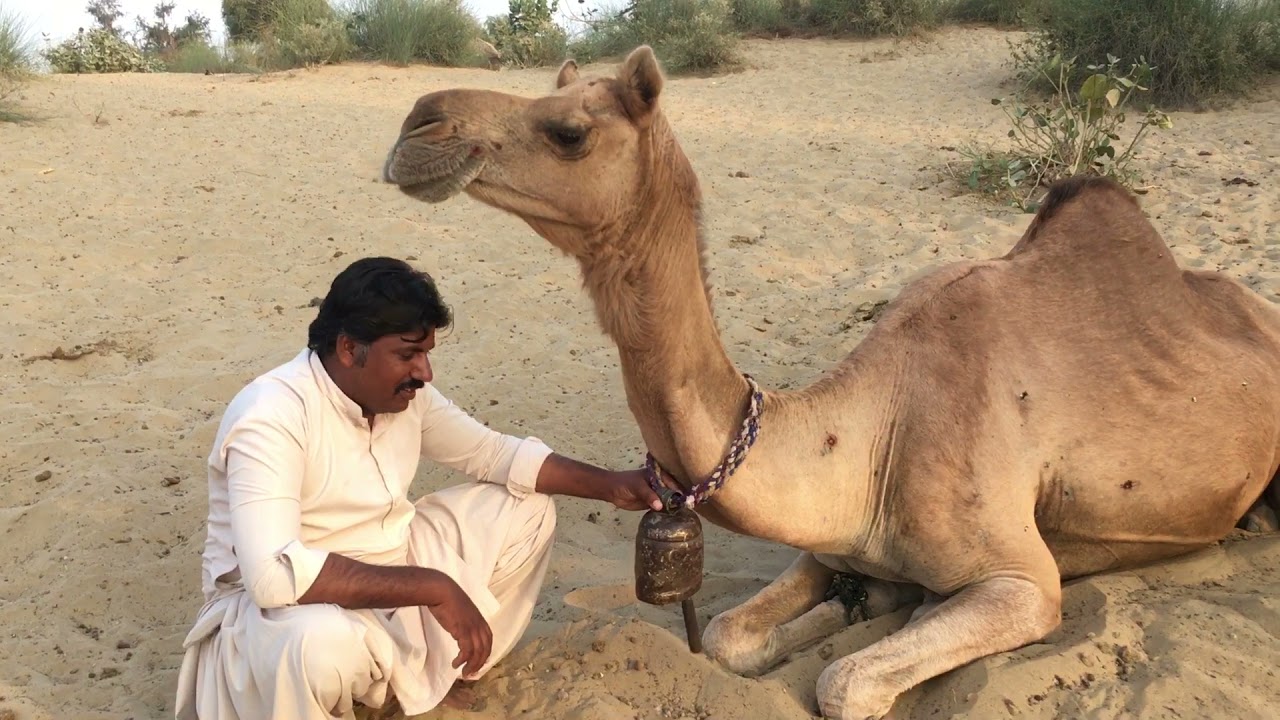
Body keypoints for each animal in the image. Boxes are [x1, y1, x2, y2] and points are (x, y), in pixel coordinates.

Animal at [380, 46, 1280, 719]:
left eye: (568, 130)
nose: (418, 122)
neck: (869, 436)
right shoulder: (832, 535)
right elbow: (729, 636)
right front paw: (866, 601)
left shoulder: (1027, 580)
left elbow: (845, 684)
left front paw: (888, 616)